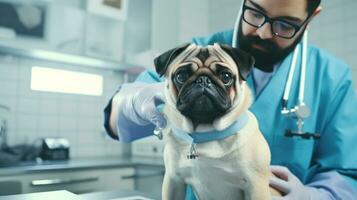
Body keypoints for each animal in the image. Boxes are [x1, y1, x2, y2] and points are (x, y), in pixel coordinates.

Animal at [155, 43, 276, 200]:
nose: (203, 80)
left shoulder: (256, 185)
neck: (207, 132)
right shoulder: (173, 181)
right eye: (181, 76)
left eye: (226, 76)